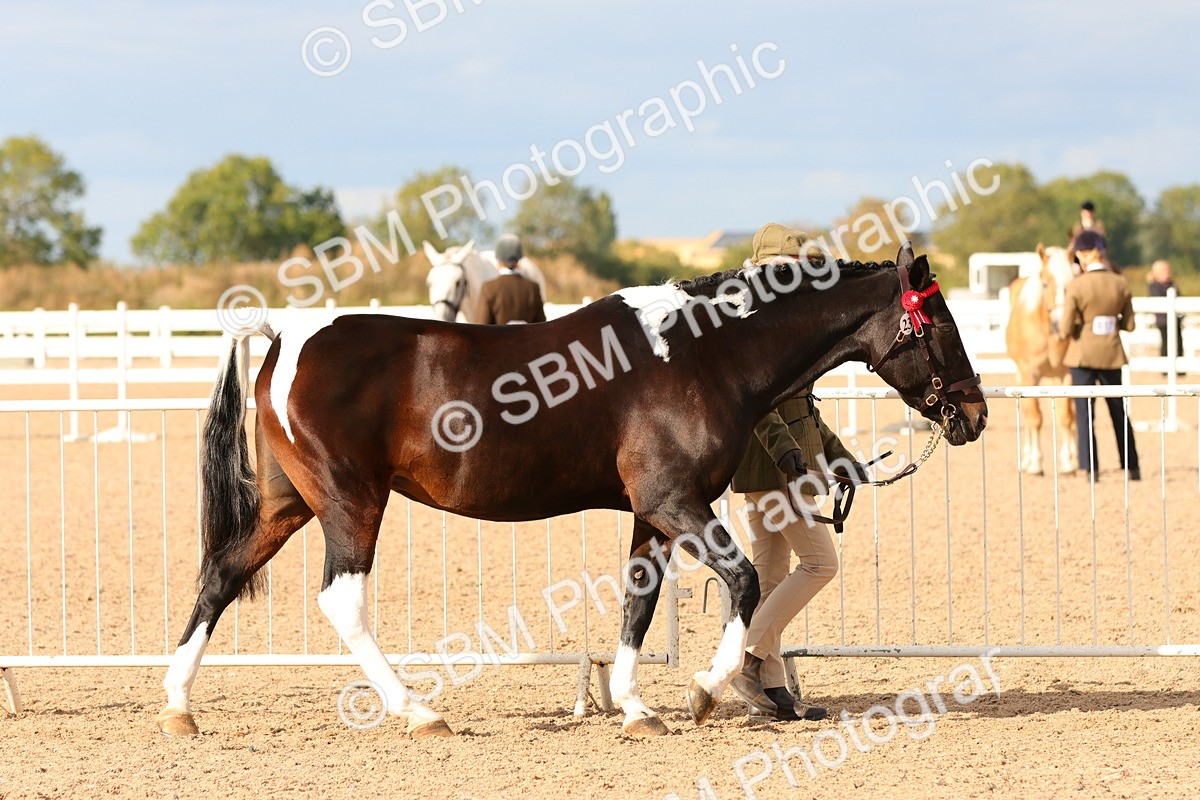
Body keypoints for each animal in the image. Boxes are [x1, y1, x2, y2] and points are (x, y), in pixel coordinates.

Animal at [158, 243, 986, 740]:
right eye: (941, 322)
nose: (973, 413)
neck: (703, 353)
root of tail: (284, 339)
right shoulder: (676, 503)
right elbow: (746, 581)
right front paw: (704, 689)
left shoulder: (654, 514)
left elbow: (639, 604)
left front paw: (636, 707)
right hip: (350, 504)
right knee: (342, 601)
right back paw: (418, 712)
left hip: (290, 505)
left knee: (221, 575)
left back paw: (179, 707)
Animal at [1004, 244, 1079, 474]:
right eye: (1045, 284)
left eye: (1073, 282)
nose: (1063, 326)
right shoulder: (1030, 375)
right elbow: (1035, 418)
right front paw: (1036, 463)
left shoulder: (1067, 376)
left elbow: (1065, 417)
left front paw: (1067, 462)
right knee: (1029, 417)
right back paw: (1028, 460)